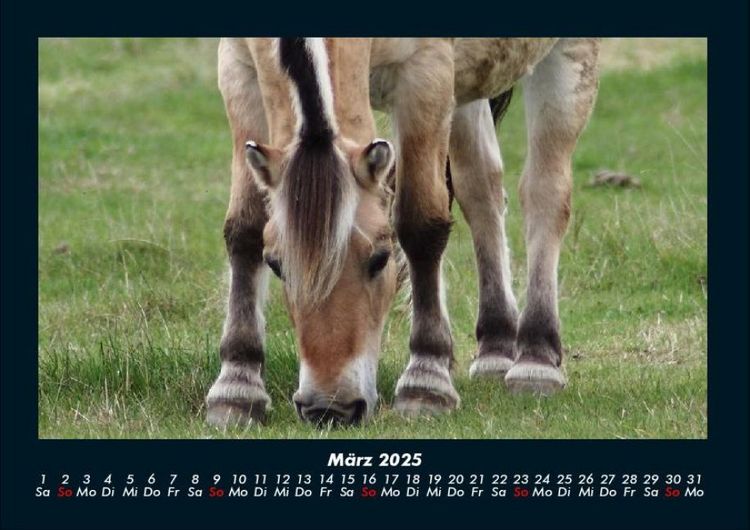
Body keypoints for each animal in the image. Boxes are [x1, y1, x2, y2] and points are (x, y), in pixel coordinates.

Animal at [205, 38, 600, 426]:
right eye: (276, 265)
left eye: (380, 259)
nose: (330, 409)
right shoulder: (238, 71)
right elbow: (245, 229)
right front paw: (237, 388)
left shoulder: (426, 74)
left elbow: (420, 226)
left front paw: (426, 380)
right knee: (481, 188)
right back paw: (495, 348)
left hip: (568, 59)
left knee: (544, 195)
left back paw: (536, 360)